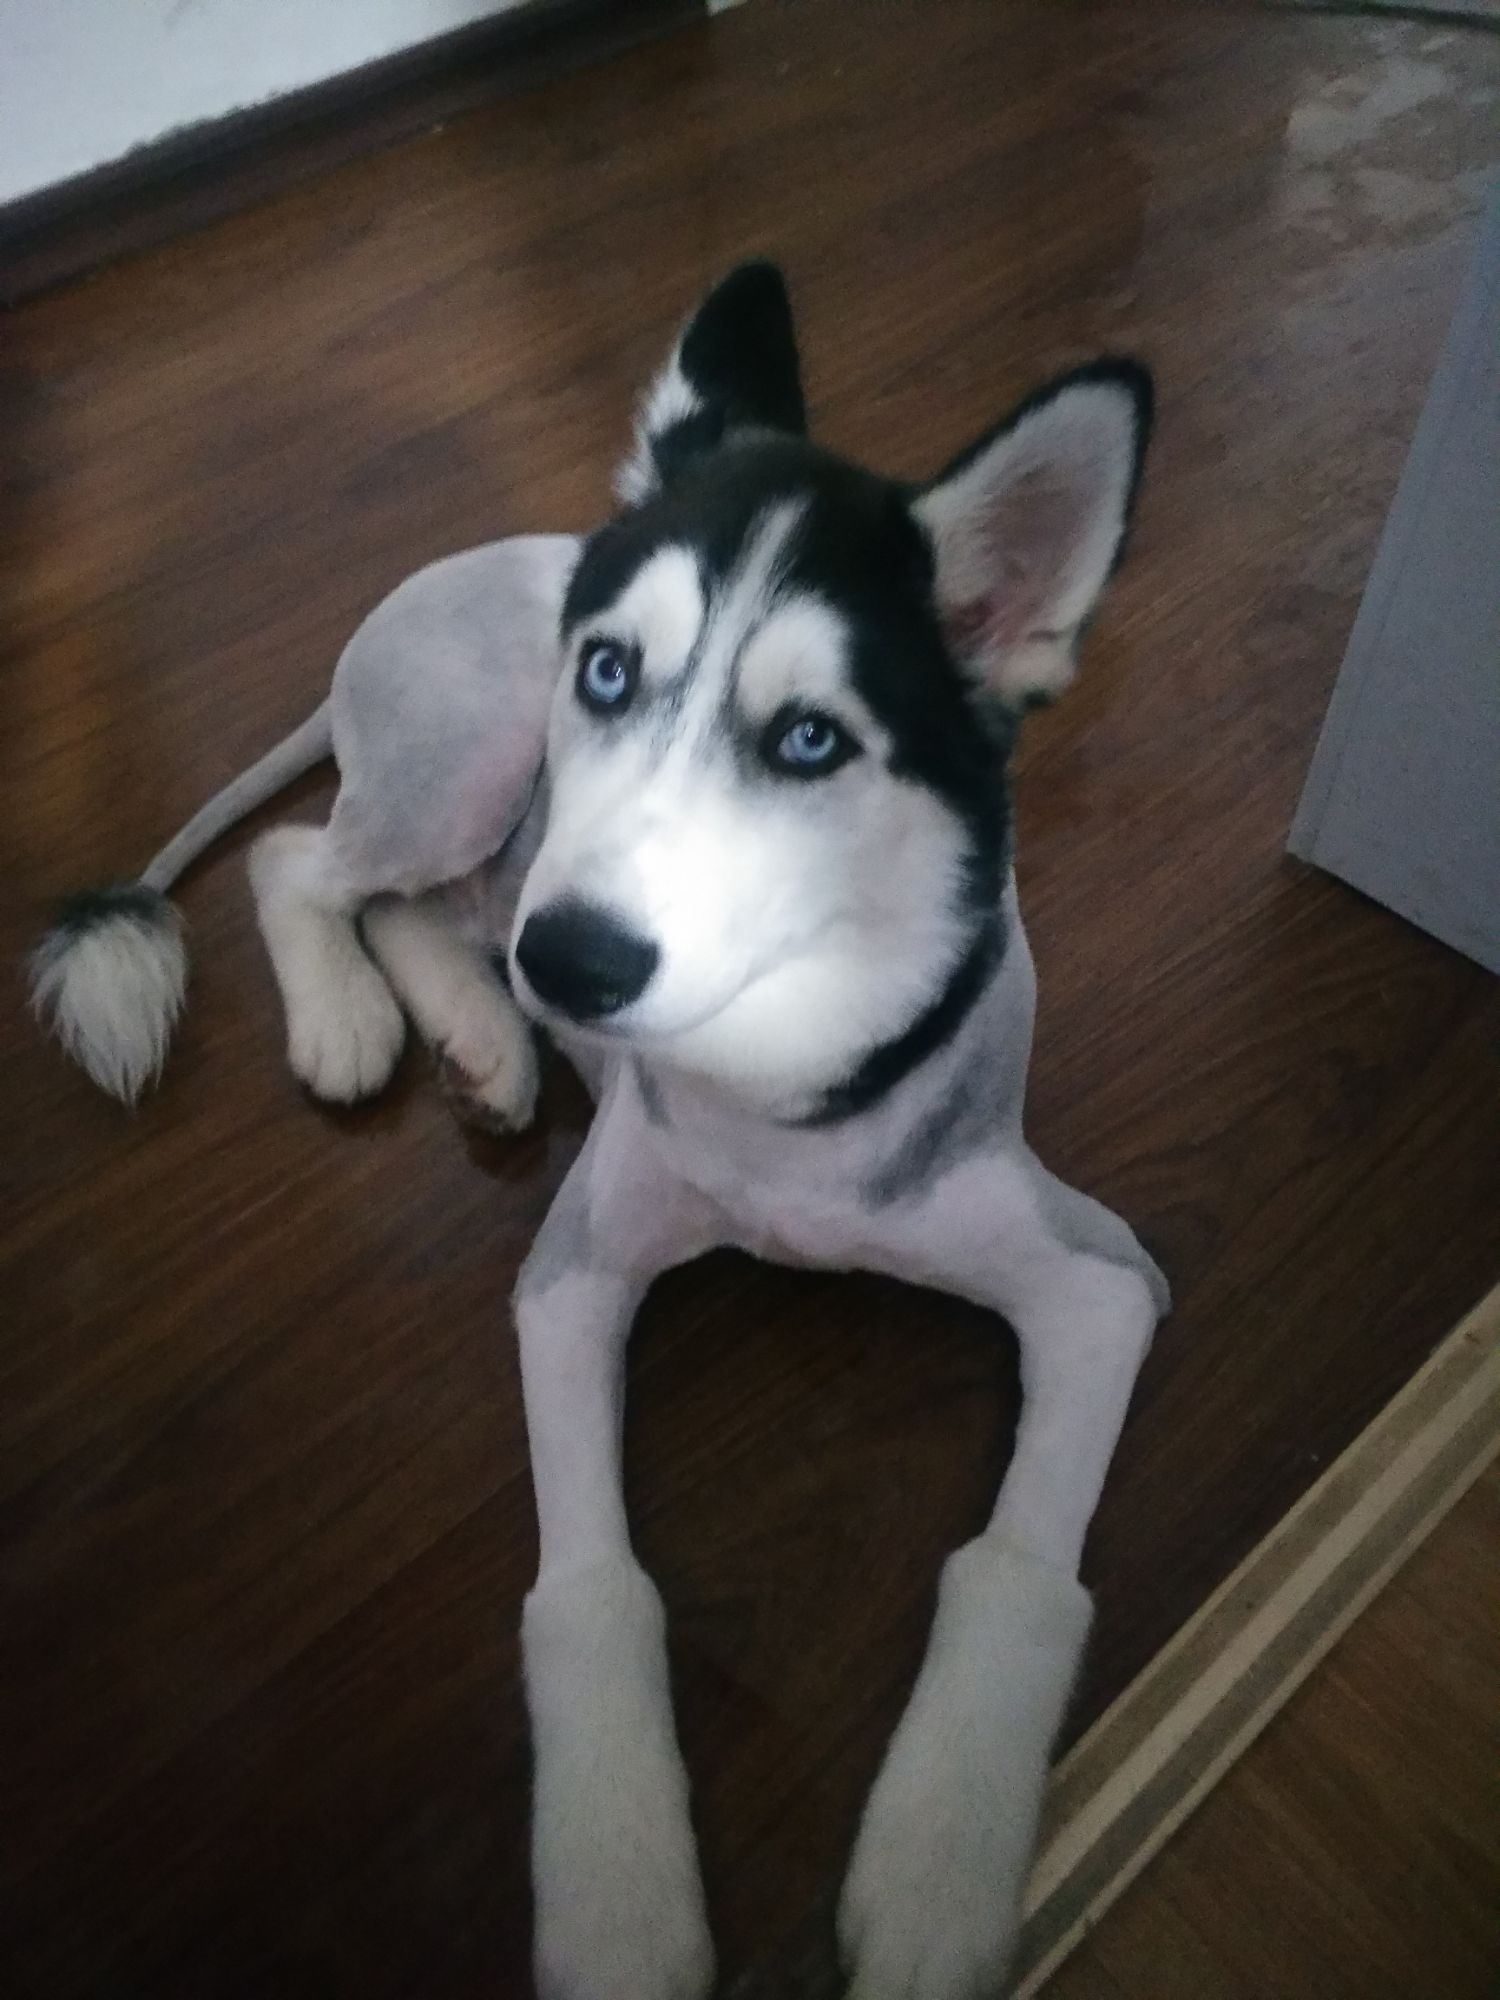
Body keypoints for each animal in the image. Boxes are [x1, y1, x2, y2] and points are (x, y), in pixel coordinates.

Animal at [31, 262, 1167, 2000]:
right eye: (615, 674)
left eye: (814, 740)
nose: (575, 963)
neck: (774, 1081)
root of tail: (469, 565)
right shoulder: (569, 1283)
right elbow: (590, 1591)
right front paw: (621, 1899)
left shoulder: (1098, 1278)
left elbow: (1023, 1564)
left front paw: (940, 1872)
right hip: (476, 765)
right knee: (306, 865)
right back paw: (369, 1019)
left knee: (428, 908)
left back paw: (485, 1037)